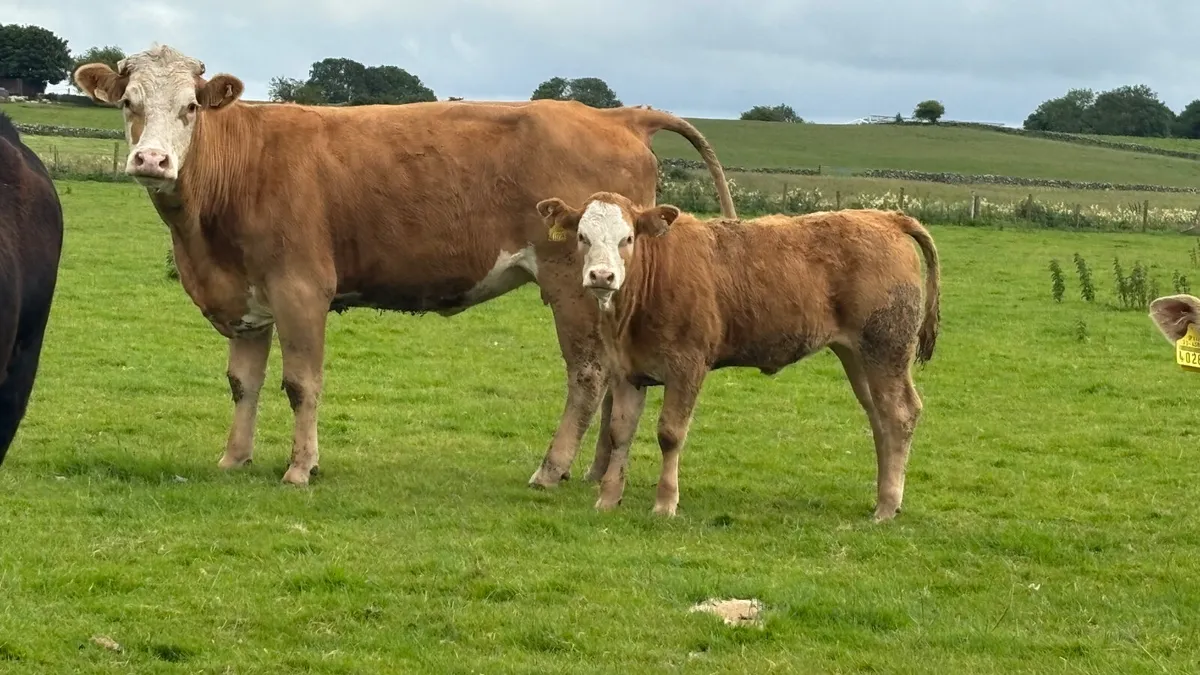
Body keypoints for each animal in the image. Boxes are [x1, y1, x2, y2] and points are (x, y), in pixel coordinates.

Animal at [71, 44, 736, 486]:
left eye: (190, 107)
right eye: (127, 103)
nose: (151, 160)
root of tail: (614, 115)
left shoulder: (301, 289)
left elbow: (300, 383)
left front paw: (300, 468)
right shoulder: (247, 299)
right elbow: (243, 383)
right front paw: (234, 459)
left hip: (577, 285)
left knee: (589, 377)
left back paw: (552, 470)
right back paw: (598, 473)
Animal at [533, 192, 941, 522]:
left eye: (627, 238)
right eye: (582, 237)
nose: (601, 276)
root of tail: (886, 218)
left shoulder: (688, 367)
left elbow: (670, 434)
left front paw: (665, 503)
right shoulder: (627, 371)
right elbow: (620, 432)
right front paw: (608, 498)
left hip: (885, 349)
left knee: (900, 414)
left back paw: (887, 505)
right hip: (857, 355)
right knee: (880, 418)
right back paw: (886, 495)